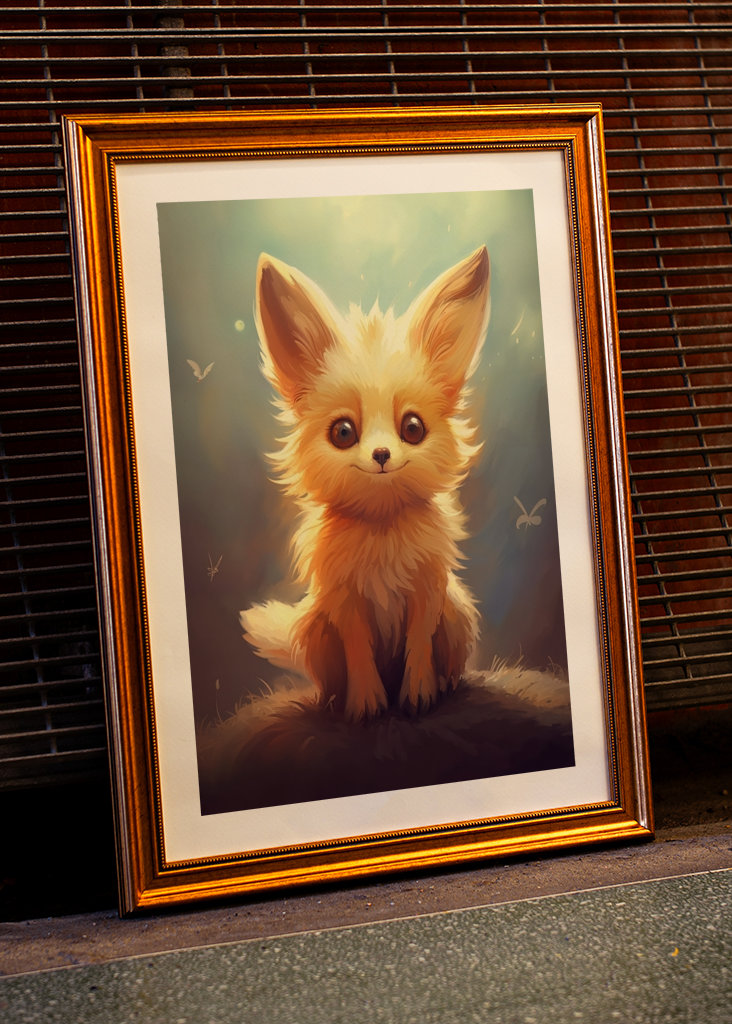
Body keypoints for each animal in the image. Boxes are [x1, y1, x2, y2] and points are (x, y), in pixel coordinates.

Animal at [240, 246, 491, 721]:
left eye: (412, 428)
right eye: (343, 433)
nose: (380, 455)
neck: (381, 524)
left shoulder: (427, 594)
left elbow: (418, 645)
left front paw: (418, 697)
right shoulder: (344, 604)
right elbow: (358, 651)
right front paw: (366, 706)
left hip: (457, 612)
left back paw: (445, 685)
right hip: (316, 627)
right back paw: (332, 701)